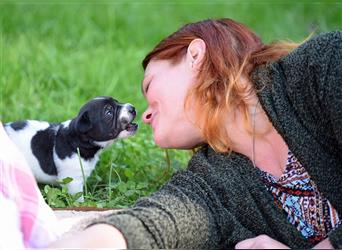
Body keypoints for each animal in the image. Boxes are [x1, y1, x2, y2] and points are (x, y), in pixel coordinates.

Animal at [3, 95, 138, 199]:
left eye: (117, 101)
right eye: (109, 112)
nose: (132, 108)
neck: (78, 140)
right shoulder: (73, 181)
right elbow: (78, 198)